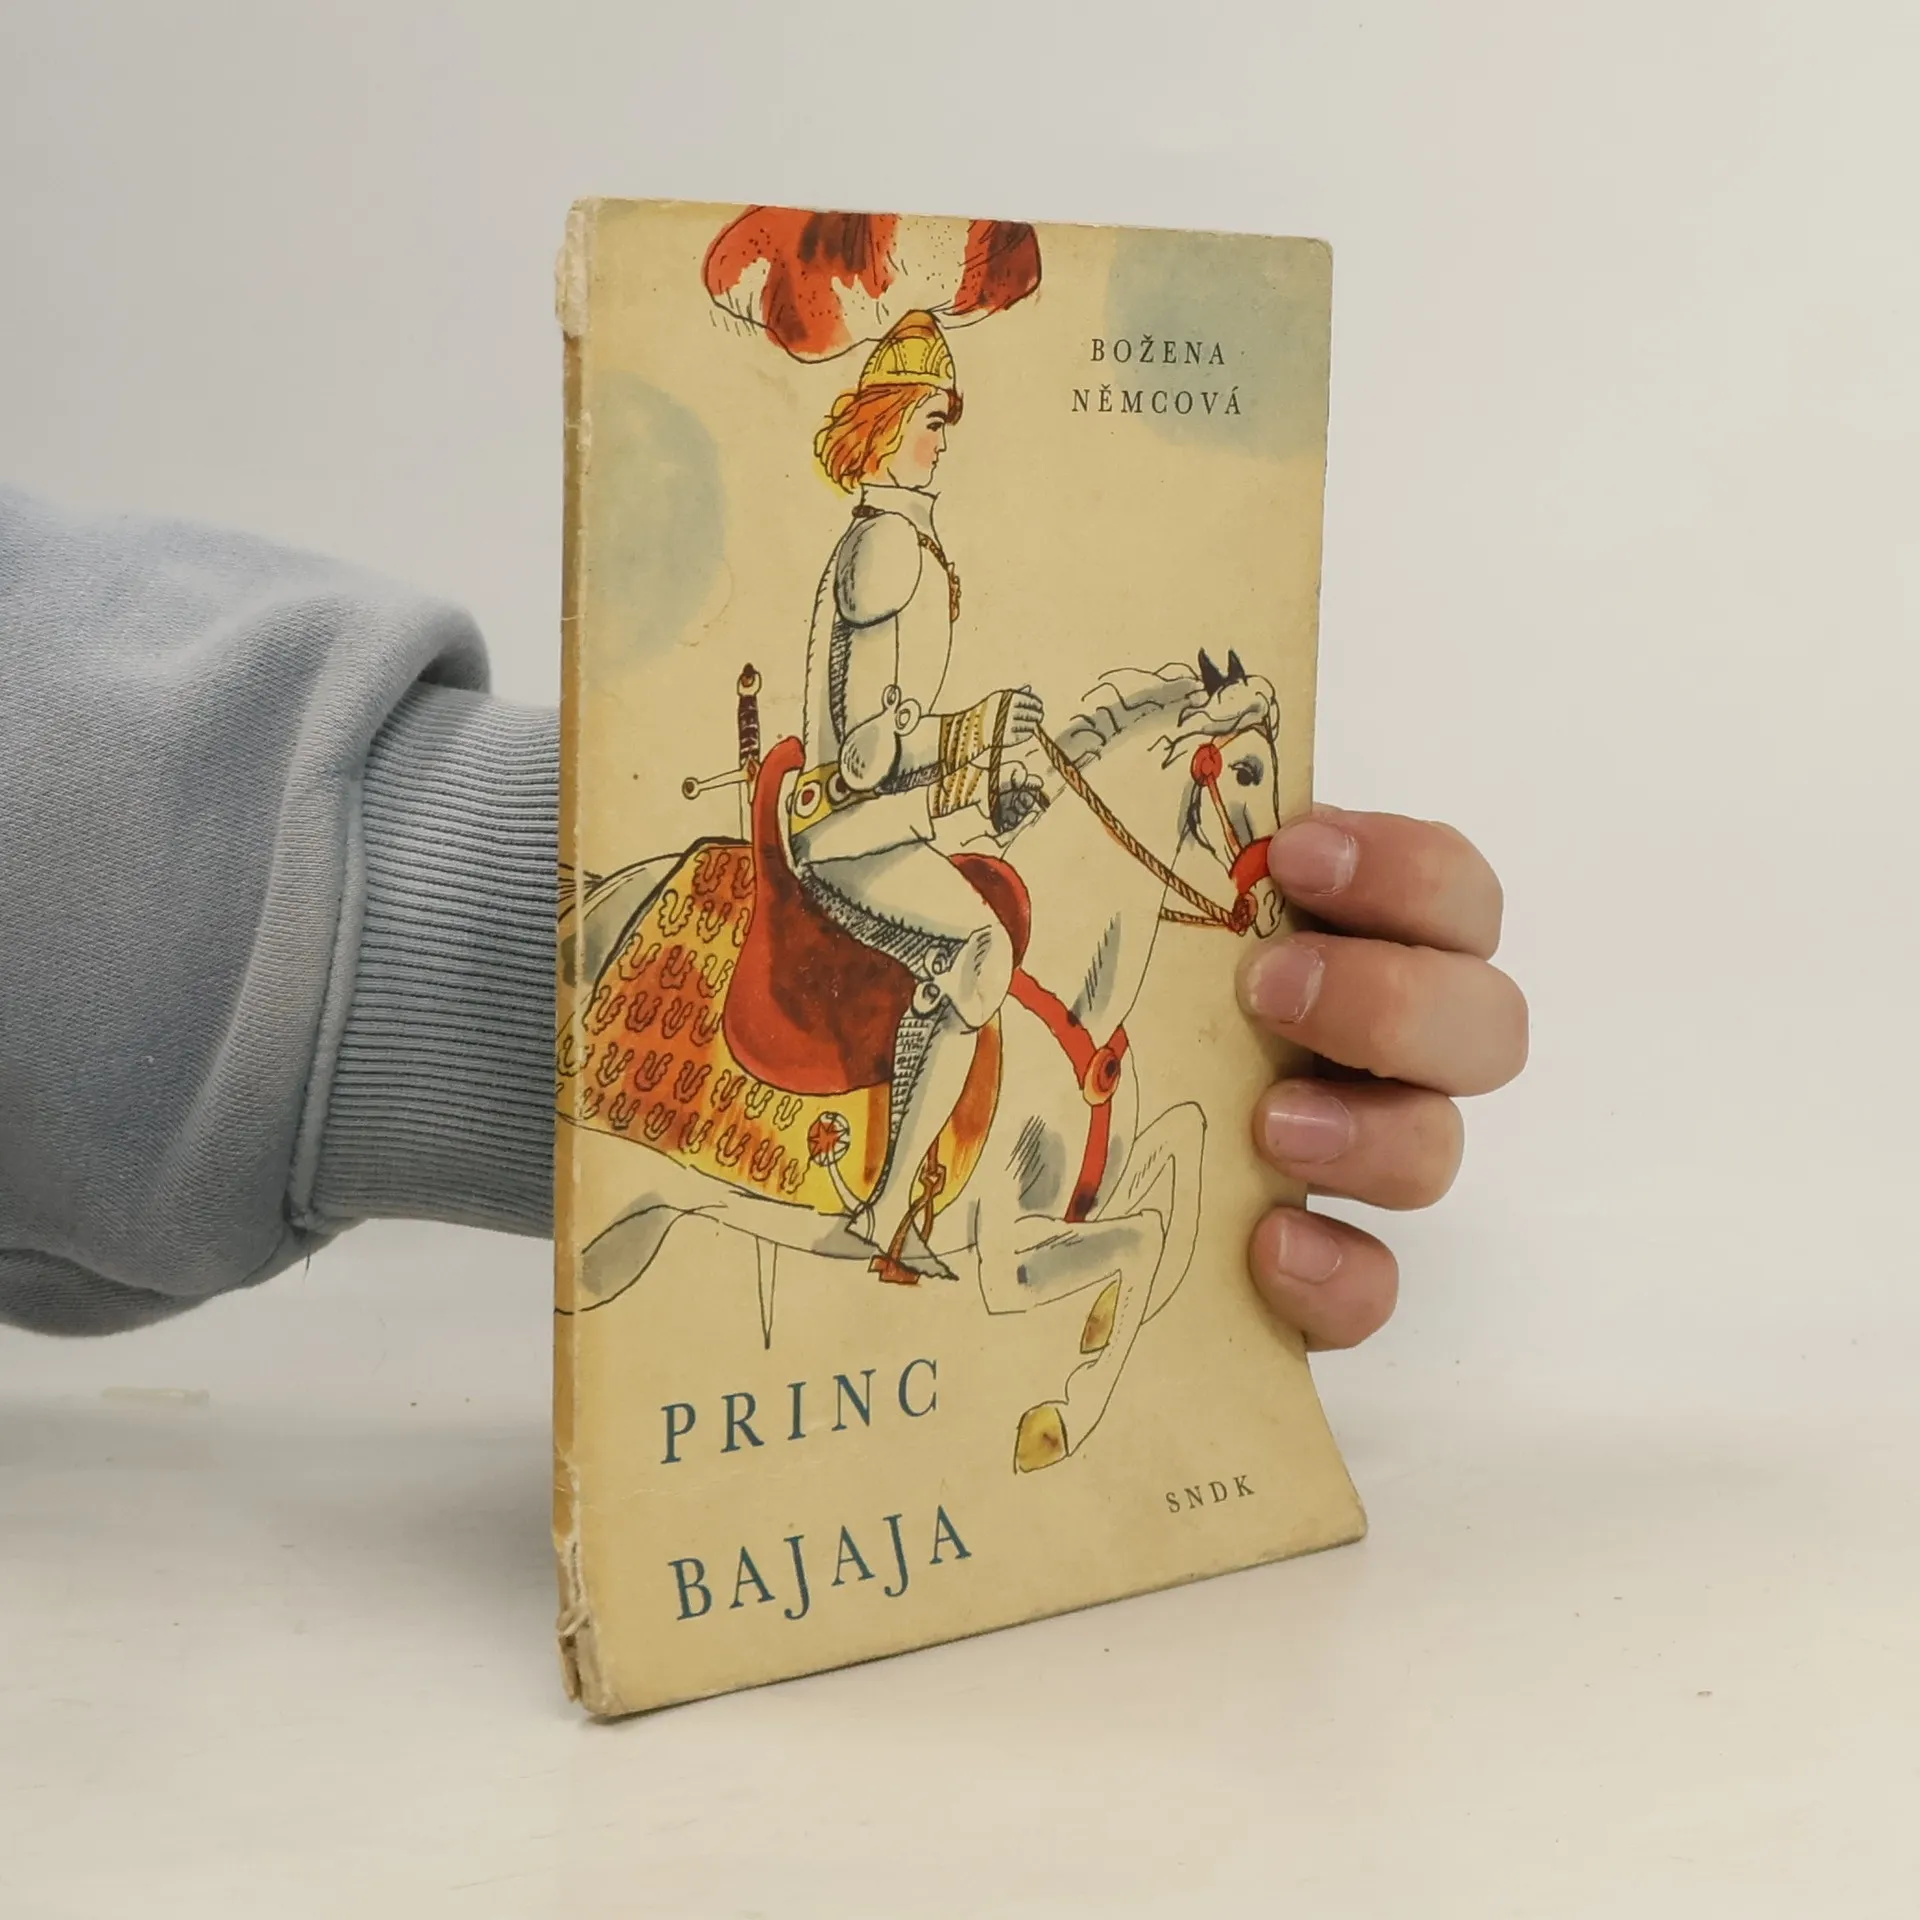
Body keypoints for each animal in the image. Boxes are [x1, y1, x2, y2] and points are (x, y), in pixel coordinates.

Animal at [557, 657, 1283, 1472]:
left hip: (625, 1236)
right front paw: (1062, 1419)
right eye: (1247, 768)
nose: (1270, 905)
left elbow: (1182, 1170)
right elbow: (1148, 1237)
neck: (1069, 1002)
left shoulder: (1087, 1198)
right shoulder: (1006, 1256)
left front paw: (1102, 1329)